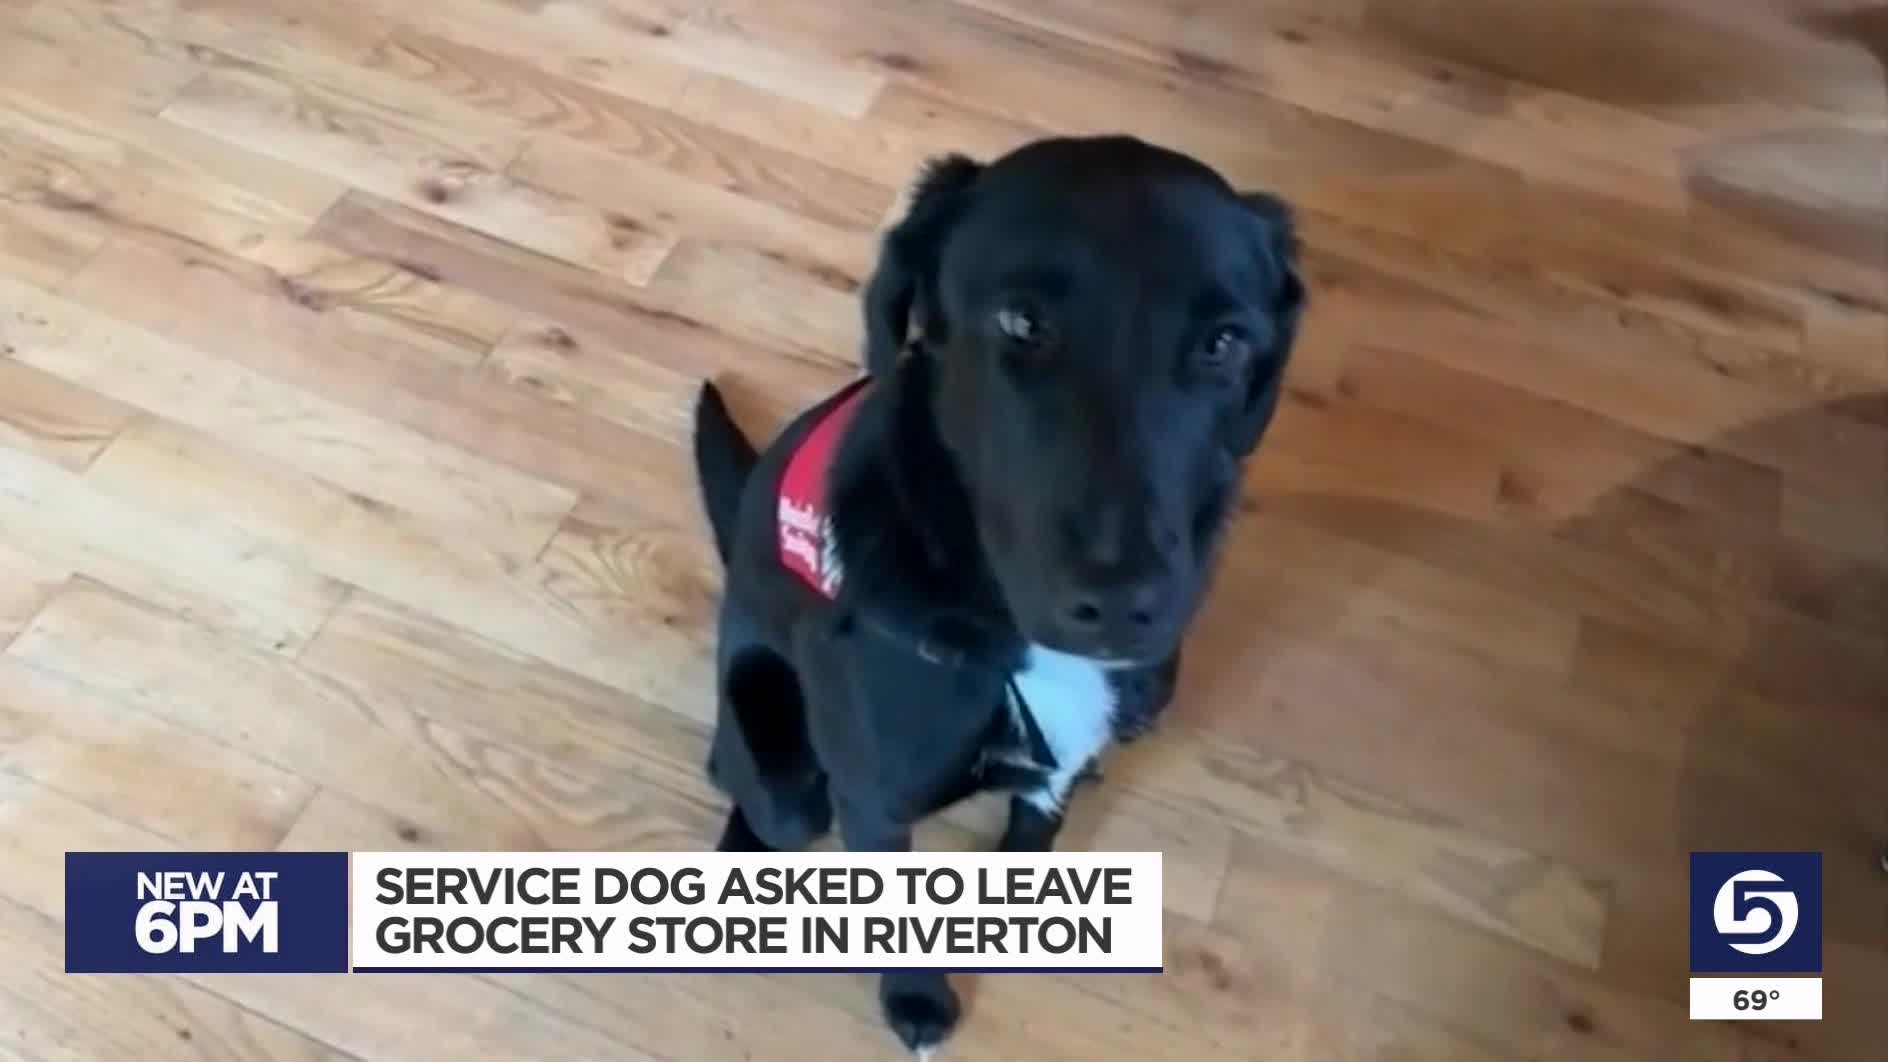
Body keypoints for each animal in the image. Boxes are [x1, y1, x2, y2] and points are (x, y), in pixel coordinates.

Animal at [690, 134, 1304, 1053]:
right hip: (774, 746)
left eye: (1223, 344)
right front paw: (918, 999)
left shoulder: (1061, 764)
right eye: (1022, 324)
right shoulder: (873, 798)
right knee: (750, 792)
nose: (1120, 603)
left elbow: (1031, 834)